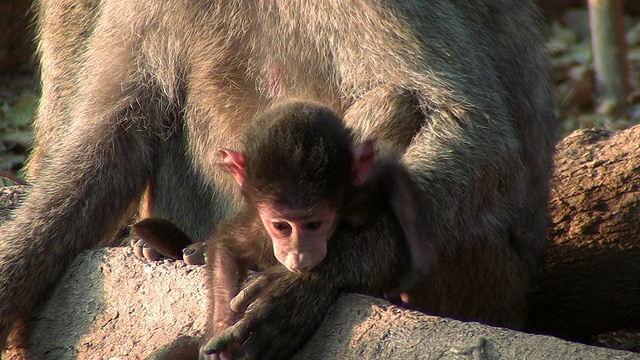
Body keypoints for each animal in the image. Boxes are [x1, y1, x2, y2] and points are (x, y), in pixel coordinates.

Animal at [0, 0, 556, 356]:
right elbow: (110, 133)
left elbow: (472, 131)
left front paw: (303, 285)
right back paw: (173, 243)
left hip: (482, 274)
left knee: (397, 100)